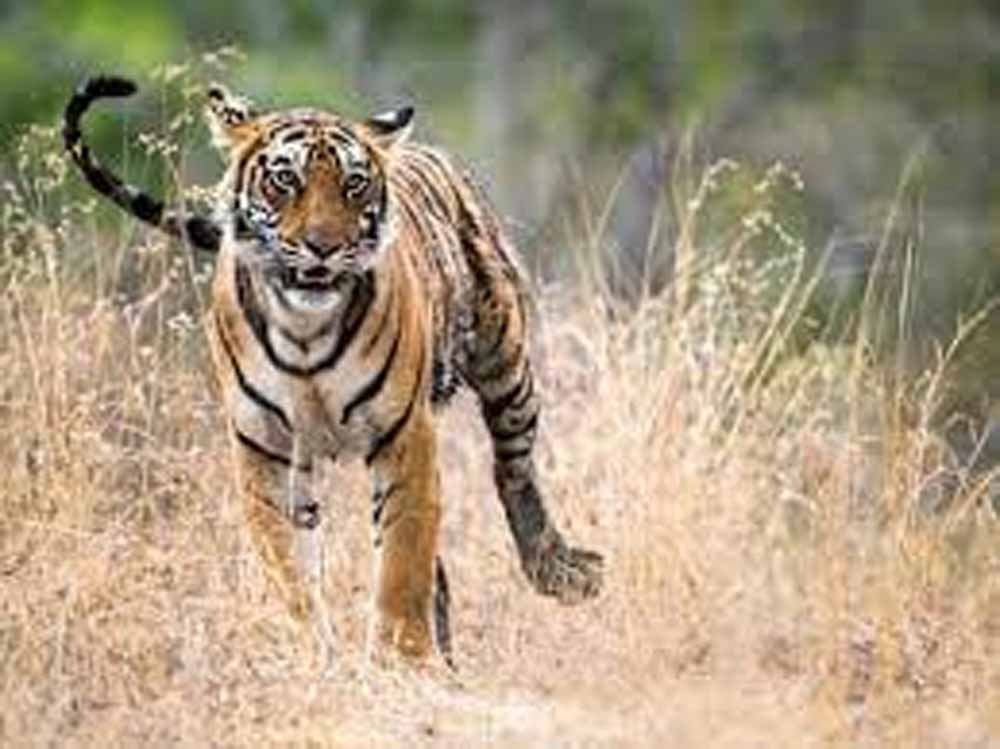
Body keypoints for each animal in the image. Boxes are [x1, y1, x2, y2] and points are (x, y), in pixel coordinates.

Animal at [63, 75, 603, 665]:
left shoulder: (404, 434)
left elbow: (402, 557)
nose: (322, 247)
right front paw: (312, 651)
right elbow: (288, 568)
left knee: (512, 468)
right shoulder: (267, 449)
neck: (305, 332)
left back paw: (558, 570)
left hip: (506, 362)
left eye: (354, 185)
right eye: (285, 180)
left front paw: (404, 659)